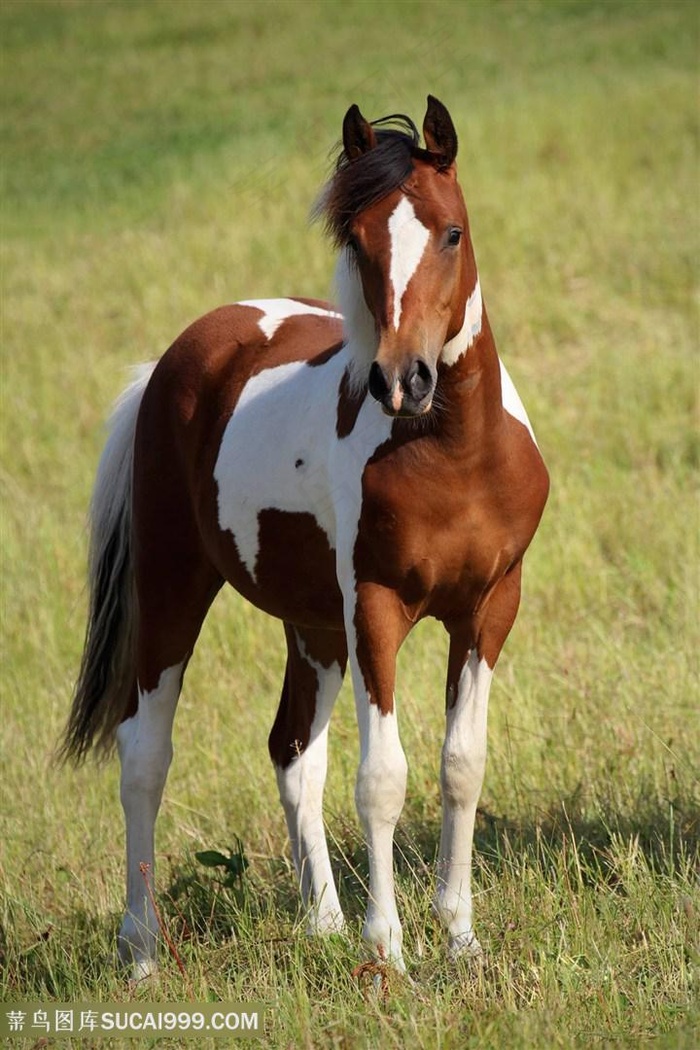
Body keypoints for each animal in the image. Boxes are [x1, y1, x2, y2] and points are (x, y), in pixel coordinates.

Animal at [61, 94, 545, 978]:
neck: (455, 456)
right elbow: (383, 778)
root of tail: (175, 361)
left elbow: (461, 766)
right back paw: (142, 948)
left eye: (452, 232)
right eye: (358, 241)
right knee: (144, 752)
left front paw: (459, 939)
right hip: (176, 585)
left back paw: (321, 920)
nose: (403, 379)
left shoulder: (489, 609)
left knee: (291, 750)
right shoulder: (376, 609)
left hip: (314, 628)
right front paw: (387, 950)